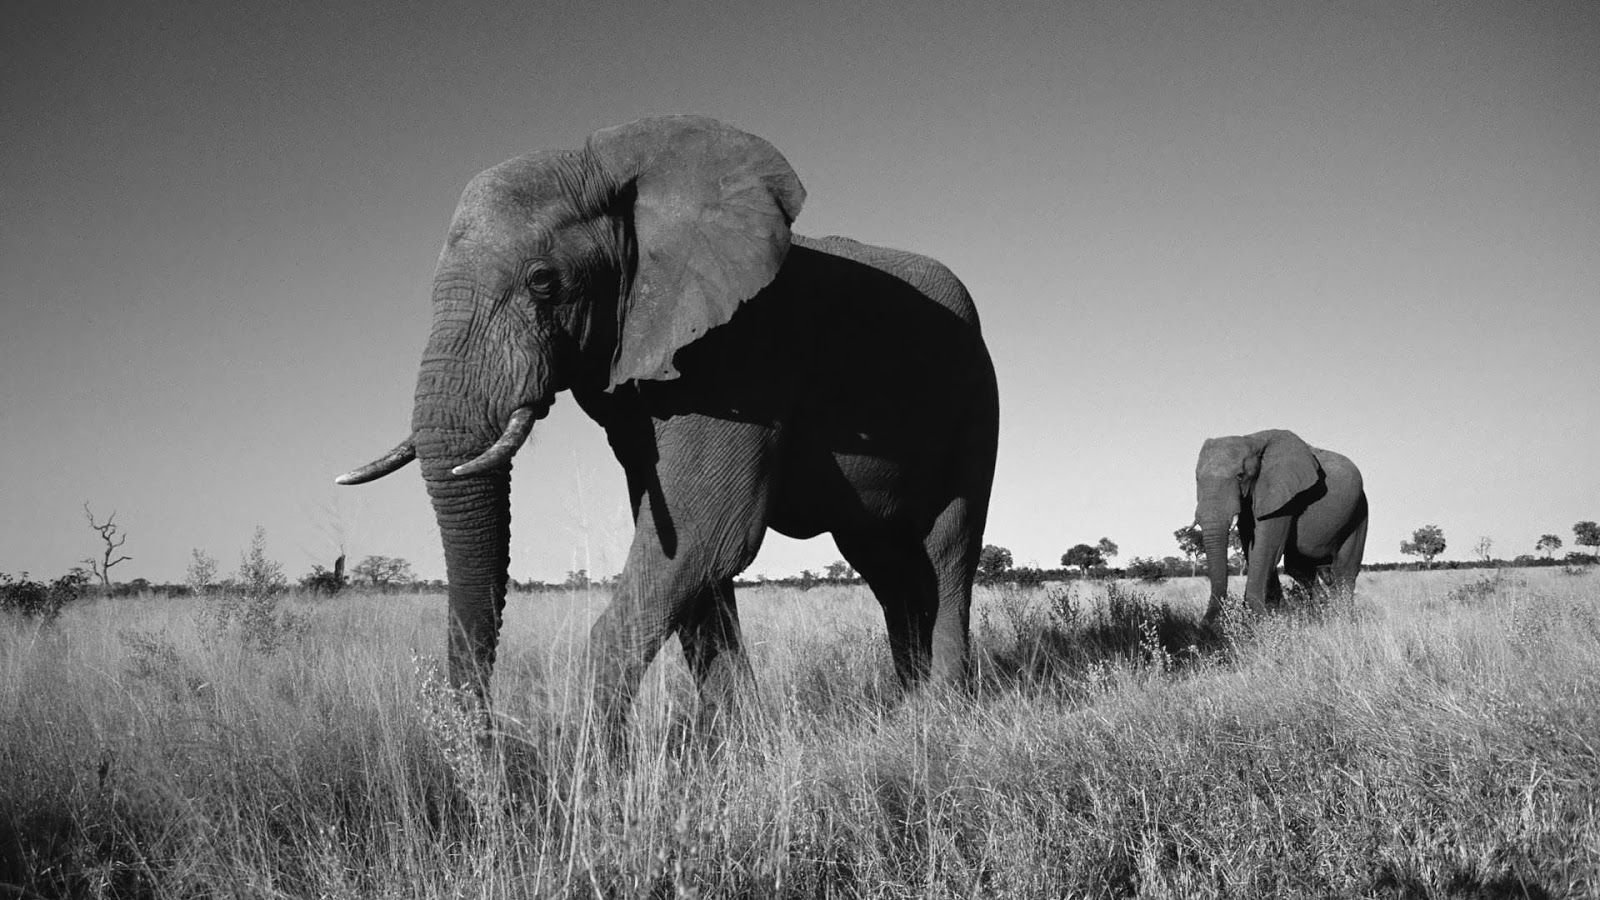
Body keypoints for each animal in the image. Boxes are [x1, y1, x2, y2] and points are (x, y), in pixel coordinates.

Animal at [337, 116, 998, 739]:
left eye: (543, 281)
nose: (488, 749)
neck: (621, 176)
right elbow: (690, 553)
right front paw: (739, 747)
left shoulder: (740, 351)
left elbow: (710, 532)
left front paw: (595, 766)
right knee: (883, 561)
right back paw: (907, 704)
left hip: (976, 404)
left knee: (946, 551)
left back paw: (941, 712)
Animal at [1194, 429, 1367, 620]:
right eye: (1197, 479)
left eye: (1240, 476)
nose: (1204, 624)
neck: (1251, 440)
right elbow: (1251, 547)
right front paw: (1274, 614)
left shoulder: (1281, 497)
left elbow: (1265, 549)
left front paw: (1259, 619)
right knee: (1299, 568)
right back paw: (1318, 611)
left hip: (1359, 512)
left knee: (1344, 569)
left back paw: (1341, 616)